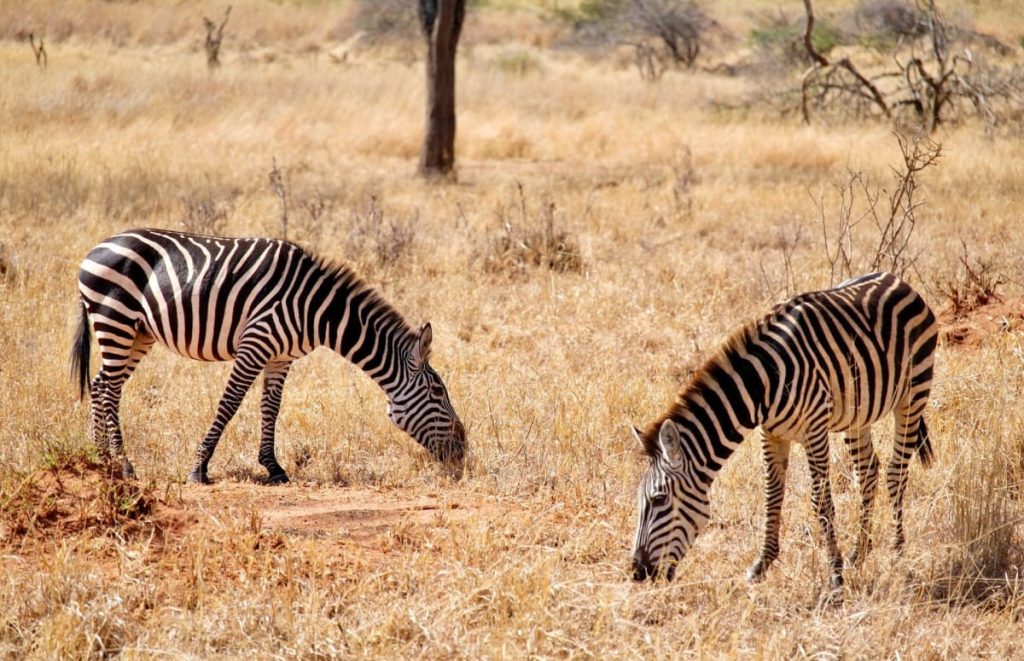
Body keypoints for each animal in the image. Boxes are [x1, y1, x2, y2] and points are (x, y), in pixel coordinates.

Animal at [72, 230, 468, 485]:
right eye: (437, 392)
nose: (463, 451)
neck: (317, 309)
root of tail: (96, 248)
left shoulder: (281, 357)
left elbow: (271, 408)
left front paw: (273, 468)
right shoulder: (255, 343)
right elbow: (230, 403)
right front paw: (200, 467)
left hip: (138, 332)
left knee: (102, 383)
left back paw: (102, 458)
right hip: (116, 320)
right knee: (109, 389)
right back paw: (124, 465)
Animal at [630, 274, 937, 589]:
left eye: (659, 499)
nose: (638, 572)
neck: (762, 384)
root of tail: (894, 279)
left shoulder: (814, 430)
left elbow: (821, 501)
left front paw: (835, 575)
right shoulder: (771, 433)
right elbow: (772, 494)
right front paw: (762, 564)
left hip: (914, 393)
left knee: (896, 472)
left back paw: (897, 554)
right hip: (857, 414)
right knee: (867, 471)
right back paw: (859, 552)